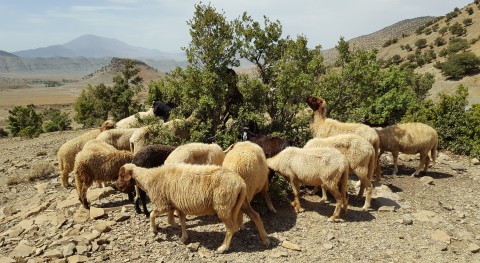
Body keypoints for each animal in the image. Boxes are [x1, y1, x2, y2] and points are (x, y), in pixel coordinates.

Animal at [117, 164, 270, 255]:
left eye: (121, 175)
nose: (116, 185)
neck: (149, 178)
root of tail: (240, 183)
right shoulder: (176, 205)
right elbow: (181, 221)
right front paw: (183, 237)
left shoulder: (163, 203)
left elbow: (152, 215)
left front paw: (154, 231)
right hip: (242, 202)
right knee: (256, 216)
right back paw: (265, 240)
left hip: (223, 205)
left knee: (231, 228)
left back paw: (222, 248)